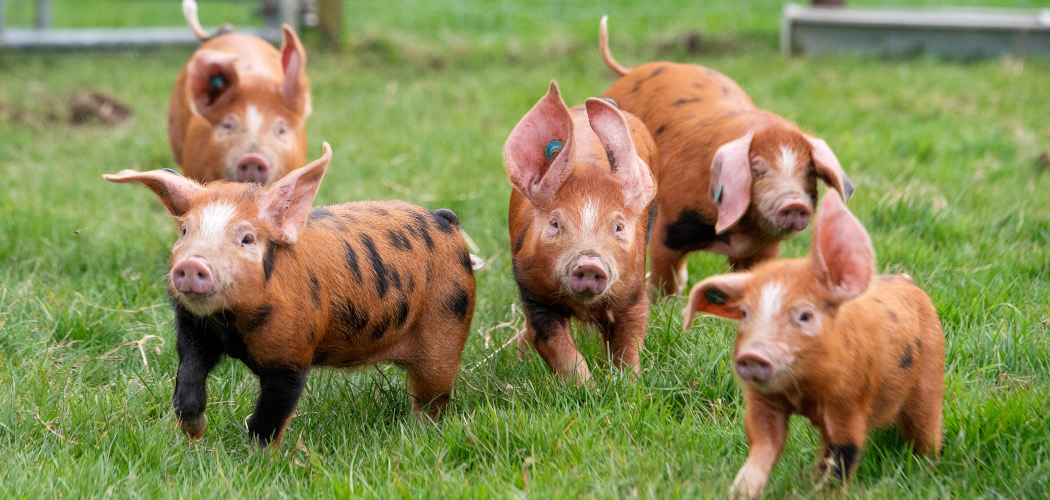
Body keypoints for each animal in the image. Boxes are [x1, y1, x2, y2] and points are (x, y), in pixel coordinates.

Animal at [104, 142, 475, 446]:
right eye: (185, 230)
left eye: (247, 238)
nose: (193, 264)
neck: (233, 325)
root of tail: (445, 220)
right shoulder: (194, 328)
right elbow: (188, 380)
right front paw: (194, 434)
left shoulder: (294, 351)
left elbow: (269, 417)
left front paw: (255, 463)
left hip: (447, 326)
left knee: (433, 397)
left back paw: (418, 434)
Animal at [504, 81, 657, 384]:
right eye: (555, 223)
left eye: (619, 226)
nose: (589, 263)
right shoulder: (533, 294)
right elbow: (559, 348)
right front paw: (586, 388)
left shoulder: (634, 290)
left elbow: (629, 343)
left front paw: (628, 385)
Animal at [599, 16, 854, 297]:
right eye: (757, 170)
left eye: (808, 172)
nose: (794, 203)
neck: (740, 234)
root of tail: (631, 71)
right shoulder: (670, 225)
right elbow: (663, 271)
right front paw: (663, 301)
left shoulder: (764, 250)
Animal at [682, 193, 944, 498]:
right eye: (745, 313)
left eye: (805, 315)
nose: (752, 355)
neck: (804, 394)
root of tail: (907, 281)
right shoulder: (764, 401)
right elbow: (764, 442)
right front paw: (740, 491)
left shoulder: (849, 402)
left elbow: (843, 453)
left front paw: (823, 493)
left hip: (929, 382)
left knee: (926, 433)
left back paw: (925, 471)